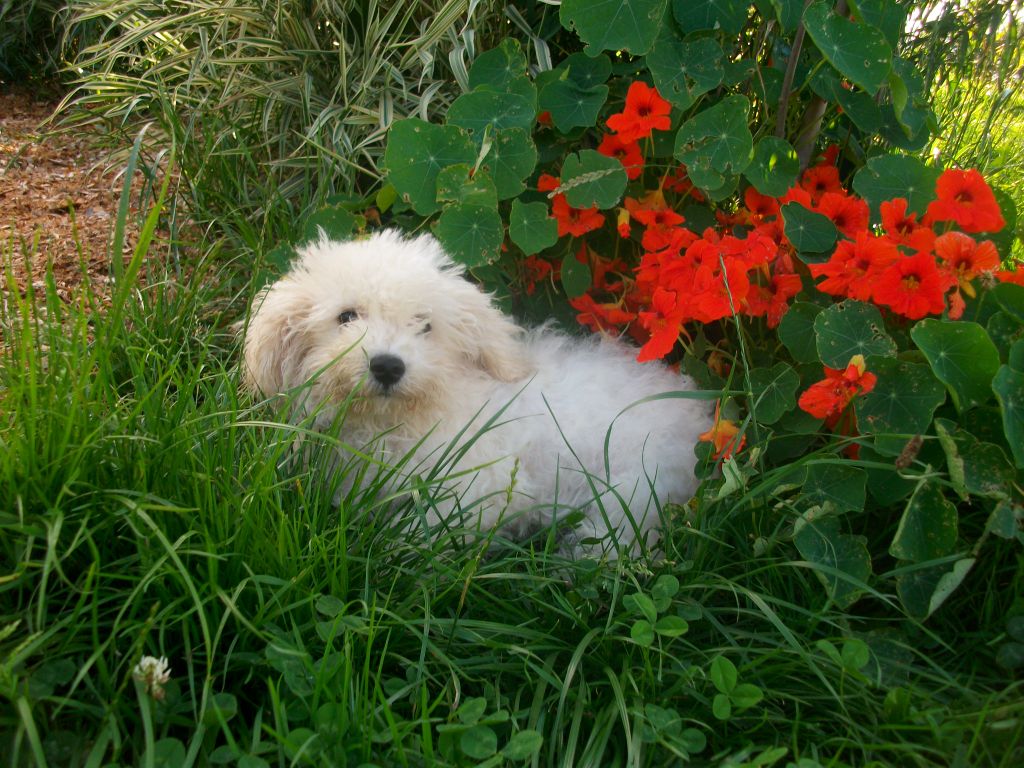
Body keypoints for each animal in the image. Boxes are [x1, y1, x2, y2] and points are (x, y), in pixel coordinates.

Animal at [244, 231, 716, 557]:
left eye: (425, 326)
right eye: (346, 317)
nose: (387, 365)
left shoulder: (477, 484)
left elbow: (423, 532)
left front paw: (391, 557)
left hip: (637, 486)